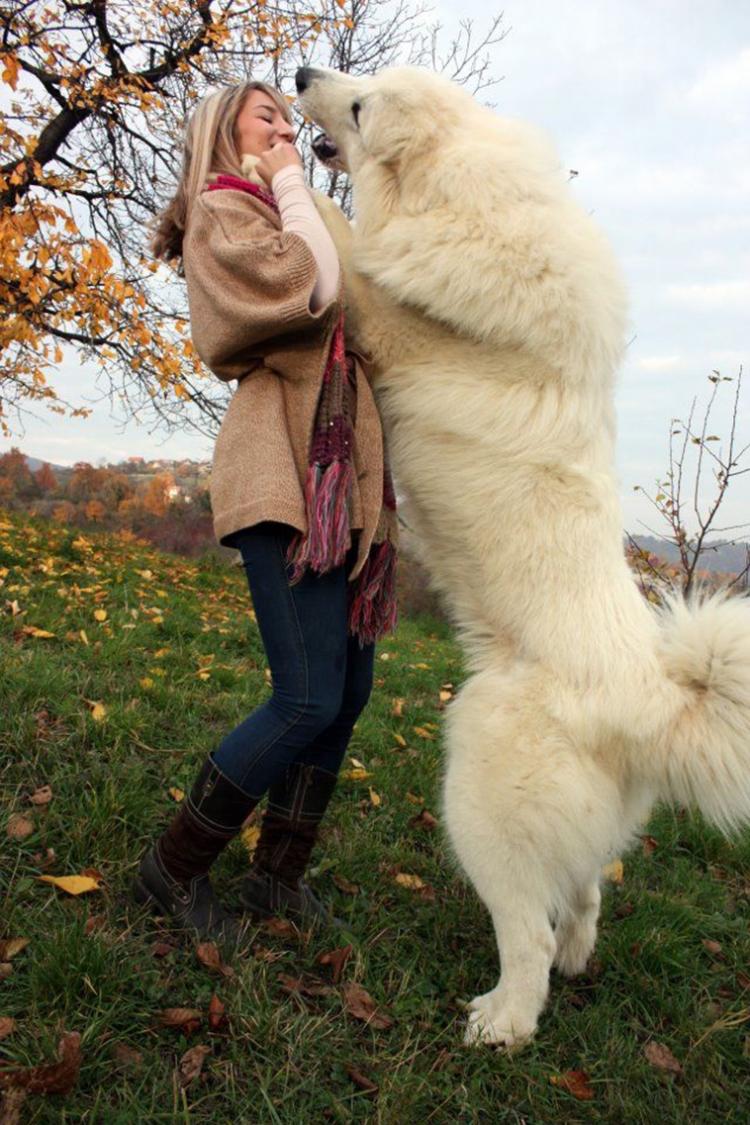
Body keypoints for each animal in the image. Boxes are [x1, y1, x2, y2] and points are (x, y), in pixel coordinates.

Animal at [296, 63, 750, 1044]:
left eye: (360, 105)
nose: (305, 74)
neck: (465, 199)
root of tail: (654, 704)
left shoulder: (390, 314)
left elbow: (346, 240)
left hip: (478, 785)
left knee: (528, 932)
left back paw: (501, 1020)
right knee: (582, 896)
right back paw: (575, 960)